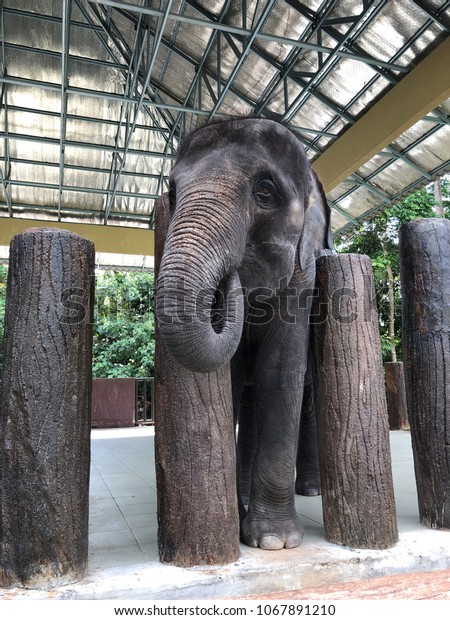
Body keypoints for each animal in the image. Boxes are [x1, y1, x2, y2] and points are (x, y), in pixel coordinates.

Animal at [156, 117, 332, 552]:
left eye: (265, 192)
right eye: (172, 192)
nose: (230, 278)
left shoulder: (301, 281)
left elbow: (281, 374)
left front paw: (274, 542)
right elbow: (232, 379)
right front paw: (238, 522)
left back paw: (311, 489)